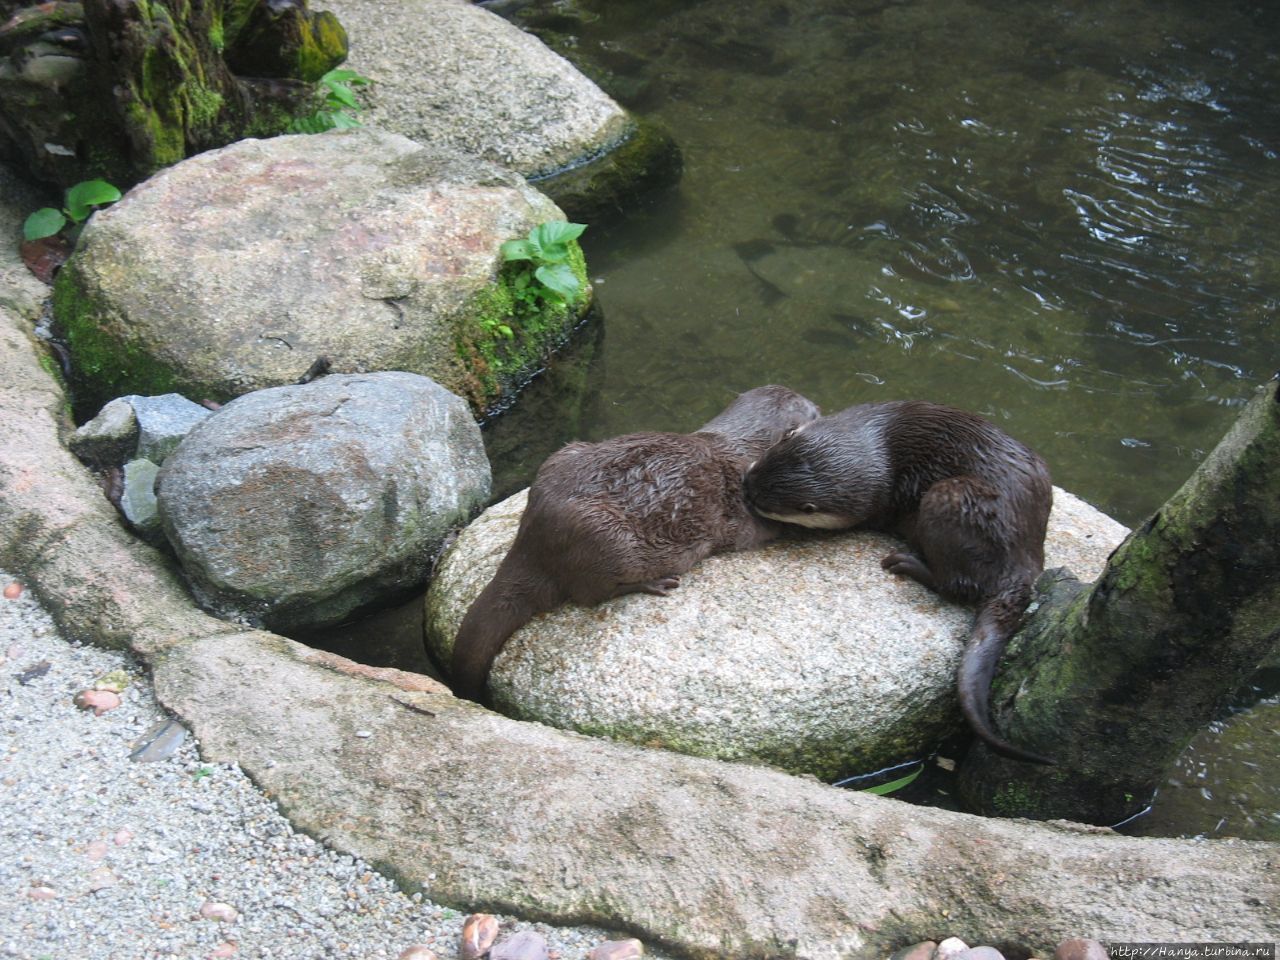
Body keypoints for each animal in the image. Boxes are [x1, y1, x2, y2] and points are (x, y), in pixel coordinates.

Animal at [455, 386, 824, 701]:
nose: (822, 410)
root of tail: (534, 541)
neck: (742, 446)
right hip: (607, 537)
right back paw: (654, 583)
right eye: (816, 412)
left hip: (563, 454)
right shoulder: (743, 511)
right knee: (592, 593)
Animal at [747, 401, 1054, 773]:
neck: (876, 446)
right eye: (763, 462)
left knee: (957, 584)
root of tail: (1025, 555)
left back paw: (906, 564)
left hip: (950, 499)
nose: (745, 487)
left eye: (764, 502)